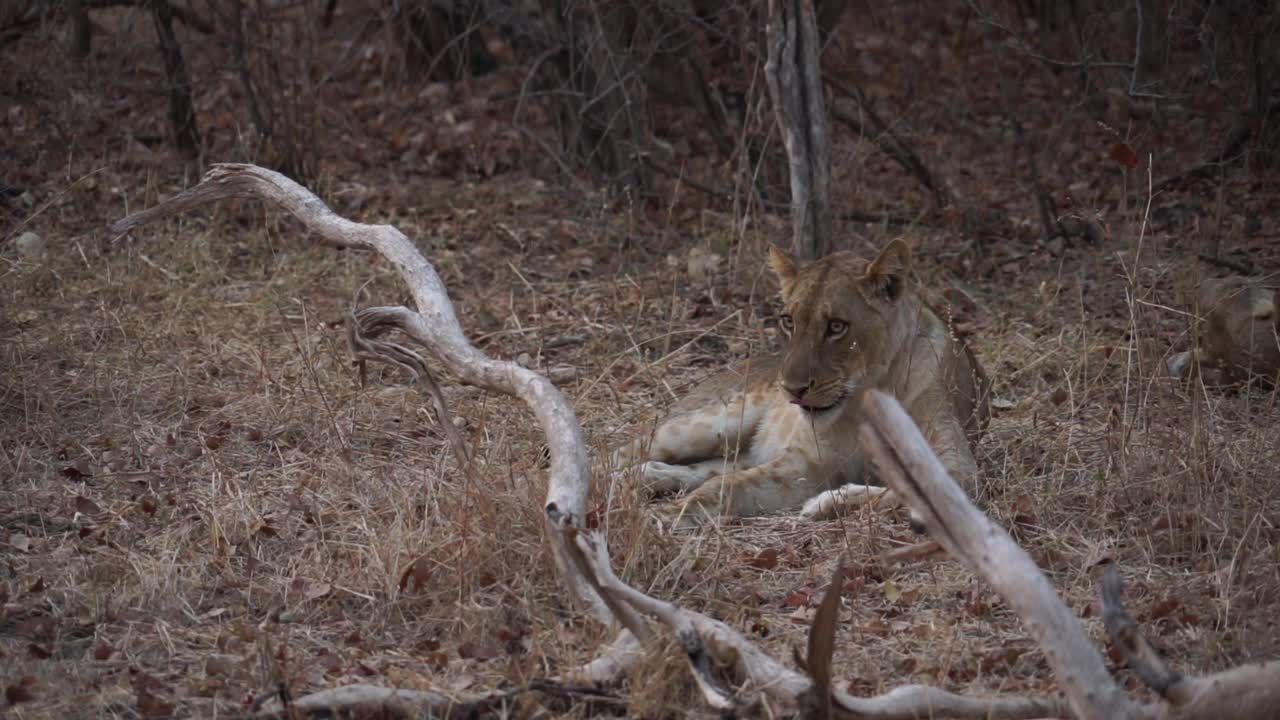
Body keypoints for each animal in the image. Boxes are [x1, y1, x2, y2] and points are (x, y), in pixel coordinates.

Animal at [624, 238, 993, 525]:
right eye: (788, 321)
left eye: (836, 326)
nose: (792, 389)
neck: (865, 400)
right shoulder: (806, 464)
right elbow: (727, 486)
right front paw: (666, 519)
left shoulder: (958, 468)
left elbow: (914, 498)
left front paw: (827, 502)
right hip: (713, 422)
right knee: (632, 448)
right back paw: (621, 479)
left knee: (708, 468)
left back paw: (647, 476)